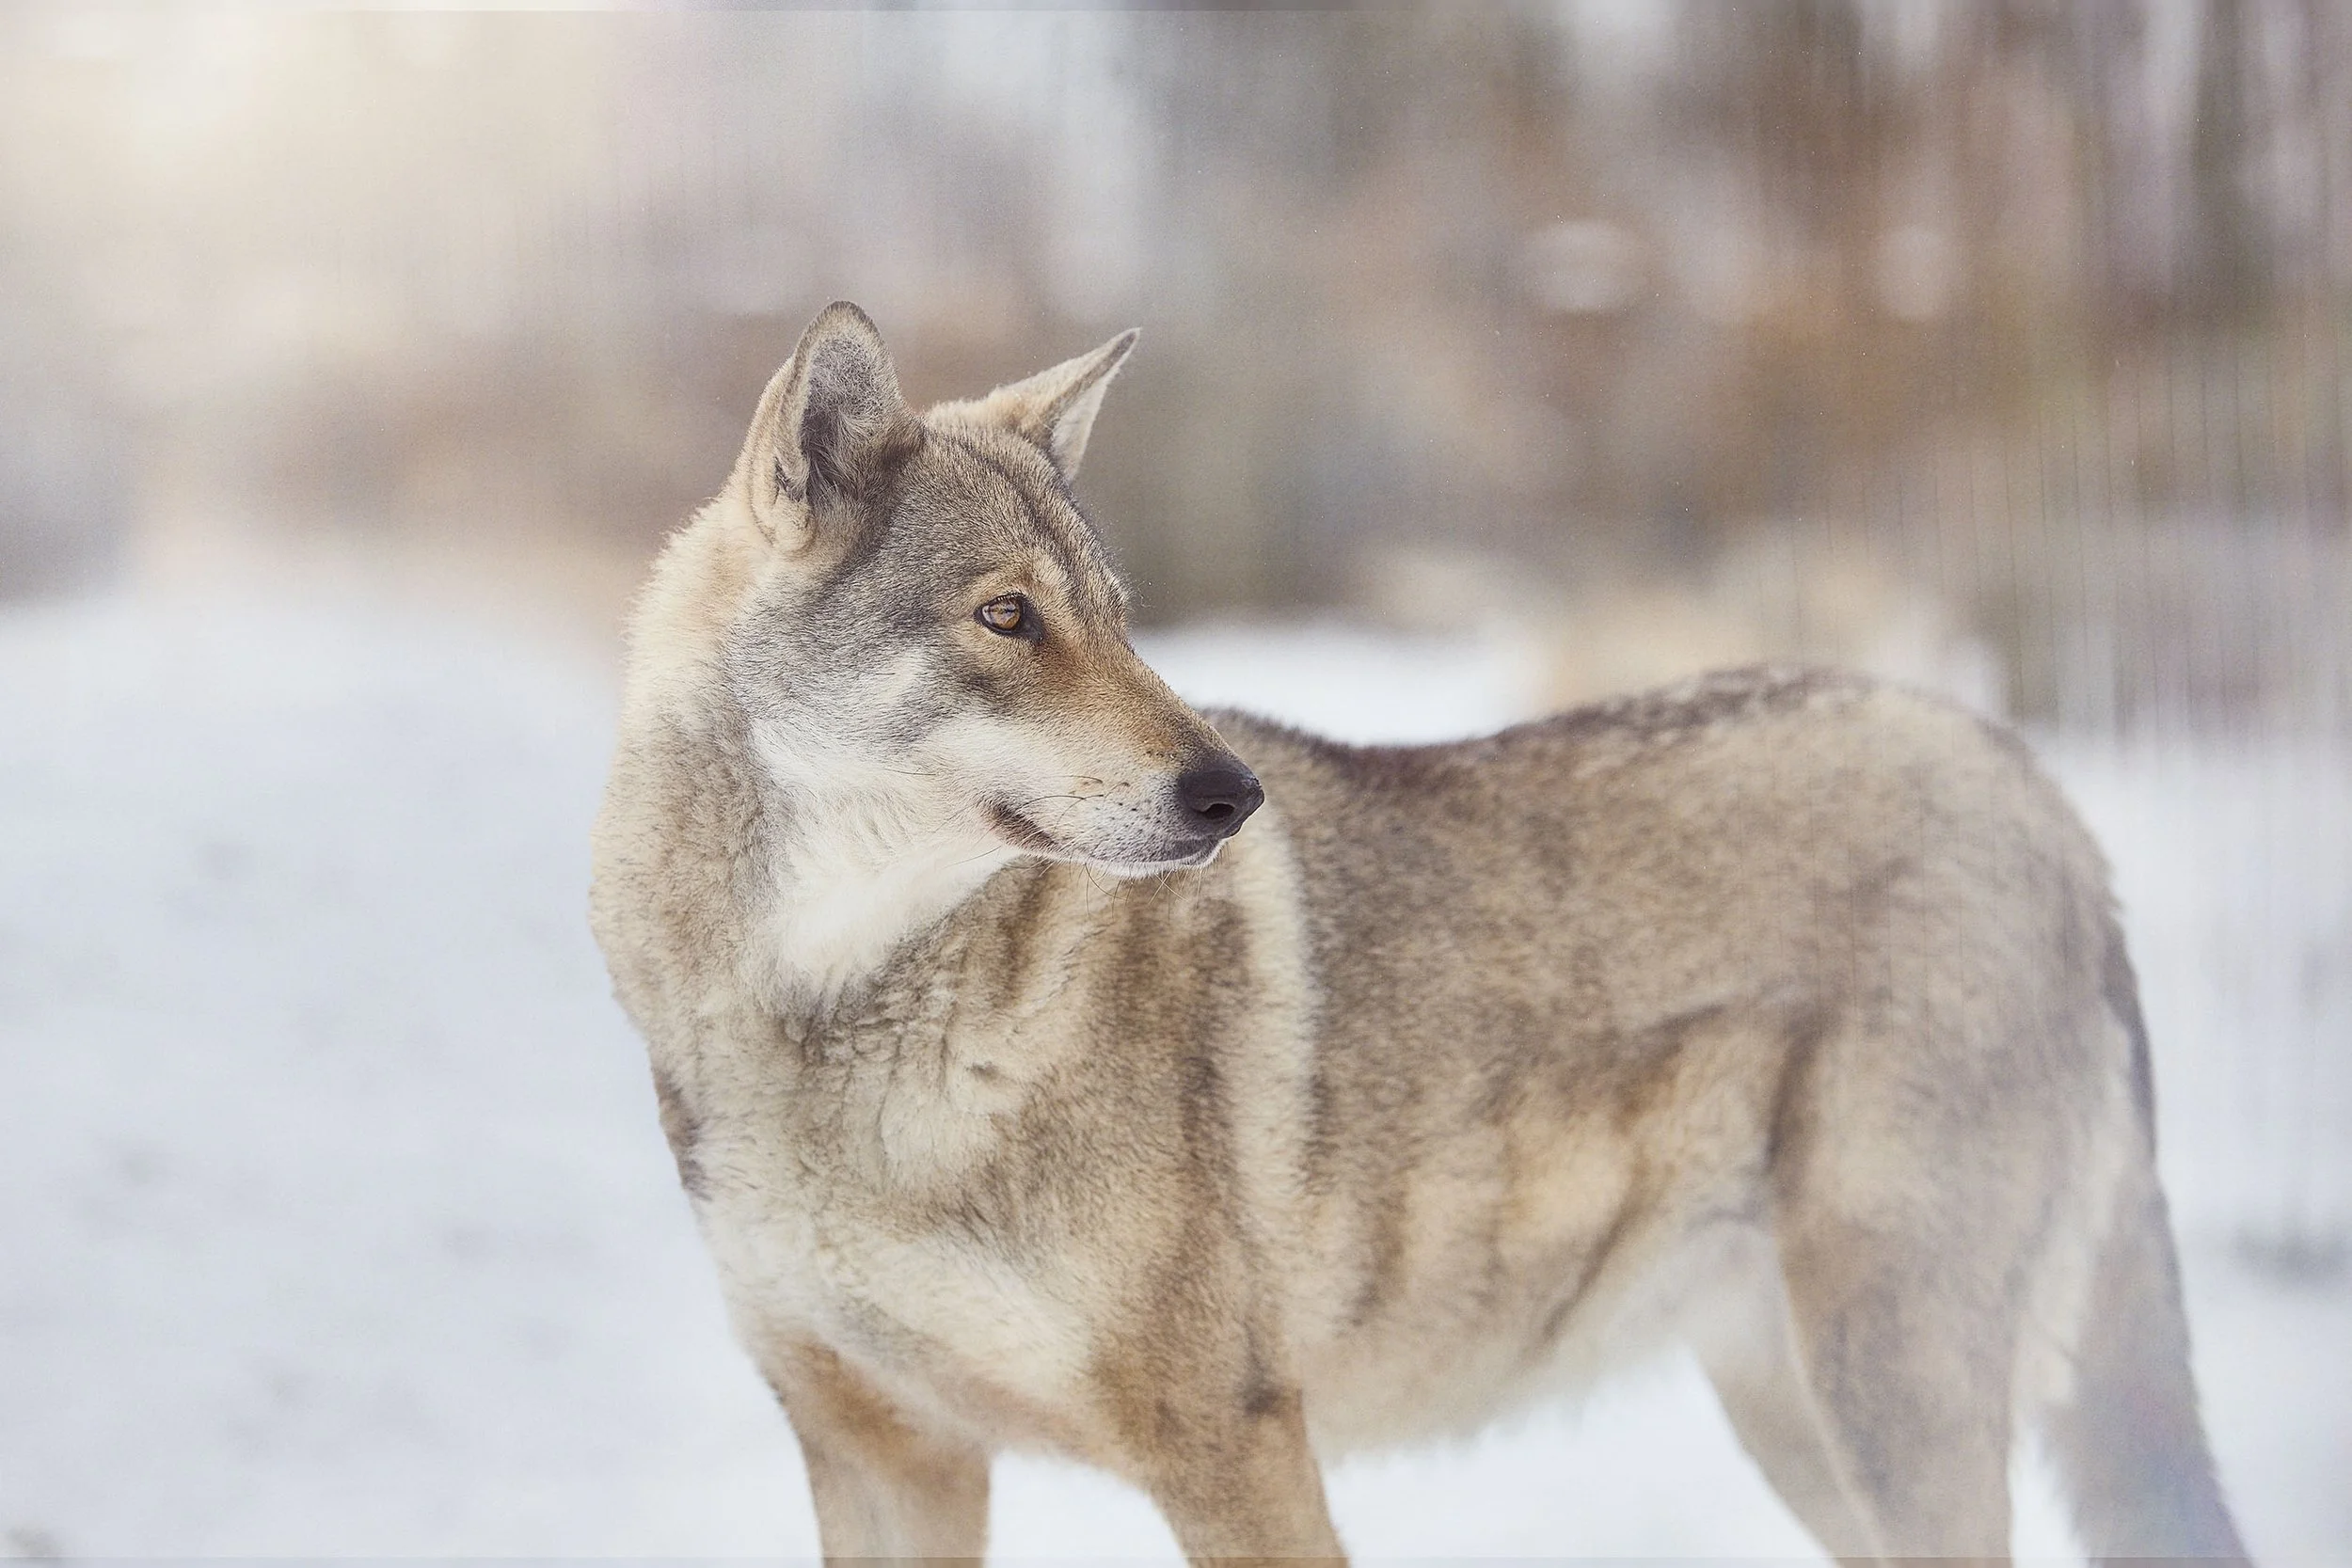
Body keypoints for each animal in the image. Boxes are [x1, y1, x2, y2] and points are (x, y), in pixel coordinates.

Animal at [588, 301, 2248, 1566]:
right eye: (1007, 617)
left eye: (1117, 614)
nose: (1232, 791)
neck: (831, 1014)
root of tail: (2038, 789)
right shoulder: (884, 1456)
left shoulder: (1236, 1441)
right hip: (1806, 1420)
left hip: (1887, 1399)